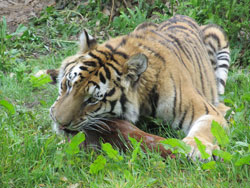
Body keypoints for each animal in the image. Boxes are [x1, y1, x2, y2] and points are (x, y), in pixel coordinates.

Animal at [49, 15, 230, 160]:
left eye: (92, 100)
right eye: (68, 84)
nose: (58, 122)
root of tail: (182, 16)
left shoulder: (206, 111)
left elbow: (205, 128)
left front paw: (195, 149)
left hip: (218, 38)